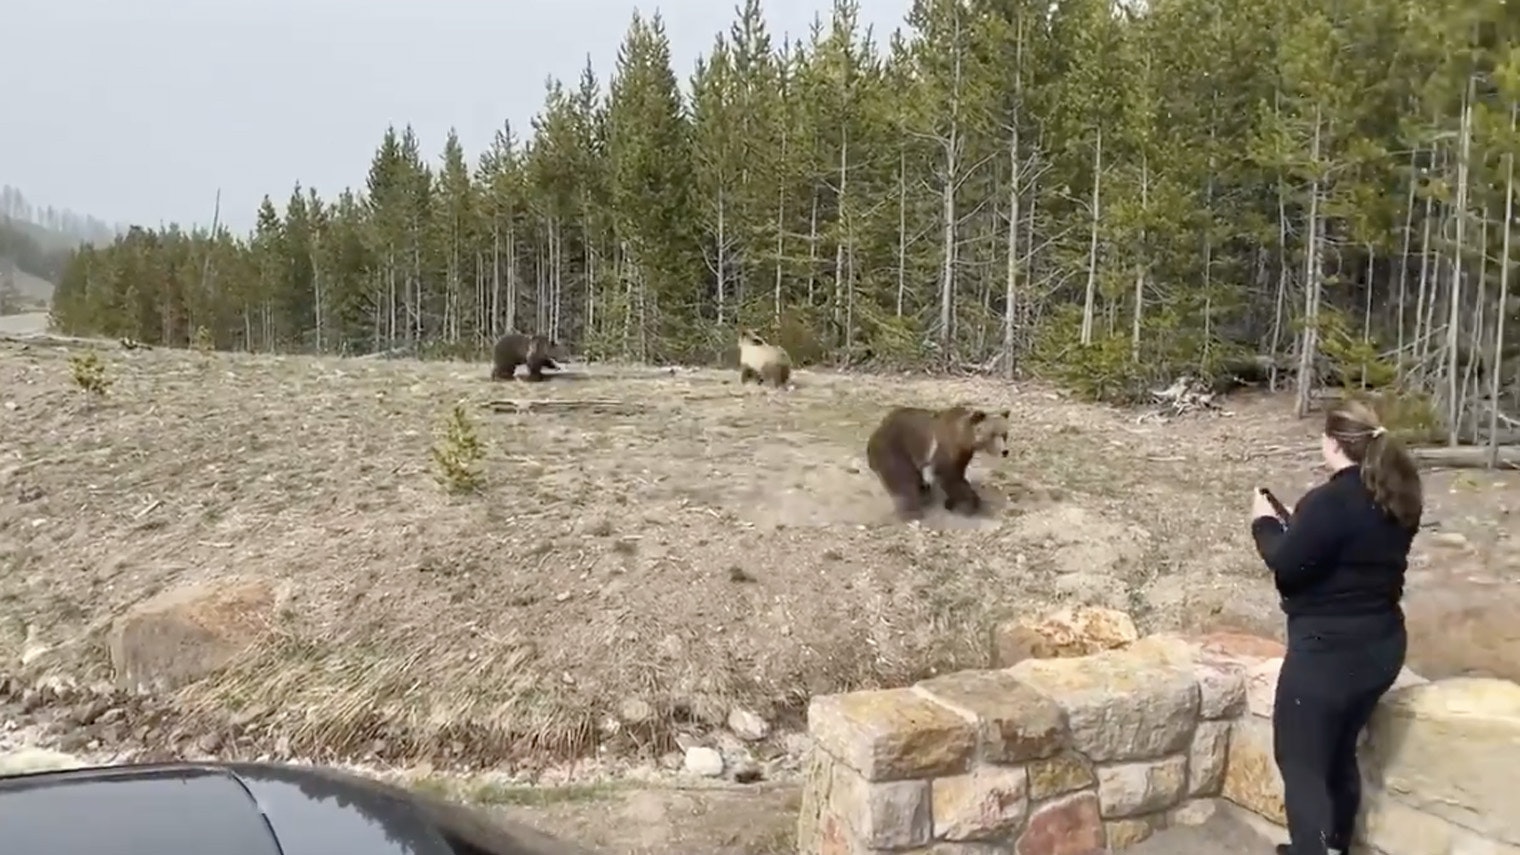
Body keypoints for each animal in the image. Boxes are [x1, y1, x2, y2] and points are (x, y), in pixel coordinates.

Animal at [865, 405, 1012, 520]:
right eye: (992, 434)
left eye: (1005, 434)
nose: (1005, 451)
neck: (963, 439)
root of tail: (877, 430)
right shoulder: (944, 450)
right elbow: (950, 477)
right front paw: (968, 504)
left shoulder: (962, 456)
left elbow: (958, 474)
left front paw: (953, 503)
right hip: (894, 448)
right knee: (902, 479)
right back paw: (912, 512)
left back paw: (924, 493)